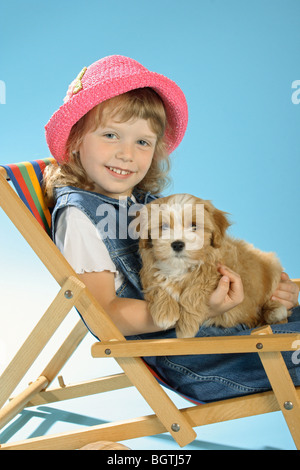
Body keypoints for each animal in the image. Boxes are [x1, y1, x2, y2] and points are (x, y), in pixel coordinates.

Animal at [139, 195, 290, 338]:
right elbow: (157, 285)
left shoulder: (218, 272)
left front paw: (186, 327)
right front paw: (165, 313)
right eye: (163, 227)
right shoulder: (150, 271)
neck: (182, 266)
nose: (177, 244)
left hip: (273, 267)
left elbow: (195, 290)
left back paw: (276, 312)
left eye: (194, 226)